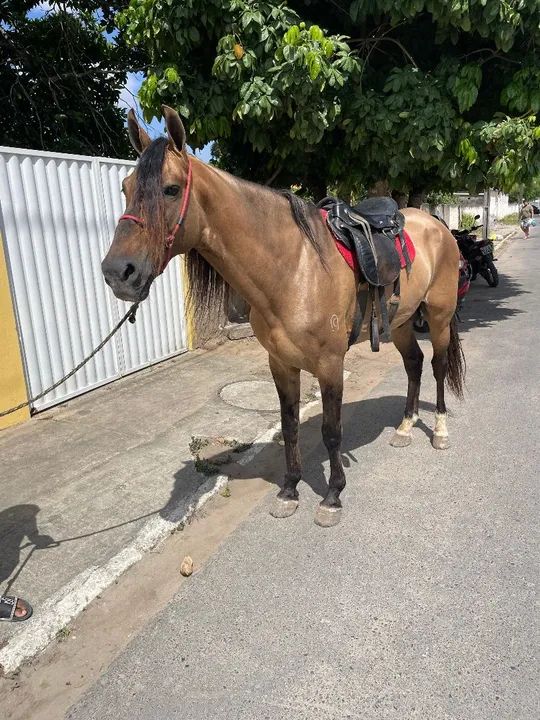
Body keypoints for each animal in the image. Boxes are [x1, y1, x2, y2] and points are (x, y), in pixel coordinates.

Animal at [102, 105, 465, 528]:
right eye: (126, 188)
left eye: (171, 189)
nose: (117, 272)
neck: (294, 269)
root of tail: (437, 224)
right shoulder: (281, 363)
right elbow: (289, 426)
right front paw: (290, 490)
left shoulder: (330, 364)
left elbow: (331, 431)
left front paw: (332, 496)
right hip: (402, 322)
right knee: (414, 365)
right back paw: (405, 428)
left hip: (438, 317)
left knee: (437, 366)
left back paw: (439, 431)